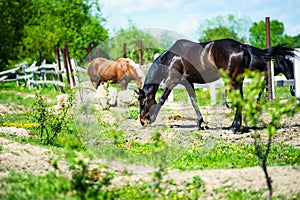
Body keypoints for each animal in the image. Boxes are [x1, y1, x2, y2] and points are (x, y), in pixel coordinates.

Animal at [137, 38, 298, 133]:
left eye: (142, 102)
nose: (142, 121)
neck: (171, 58)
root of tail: (242, 47)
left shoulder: (172, 80)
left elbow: (162, 99)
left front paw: (152, 119)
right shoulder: (187, 82)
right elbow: (194, 101)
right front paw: (199, 123)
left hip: (232, 81)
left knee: (239, 100)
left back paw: (234, 127)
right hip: (237, 81)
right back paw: (235, 126)